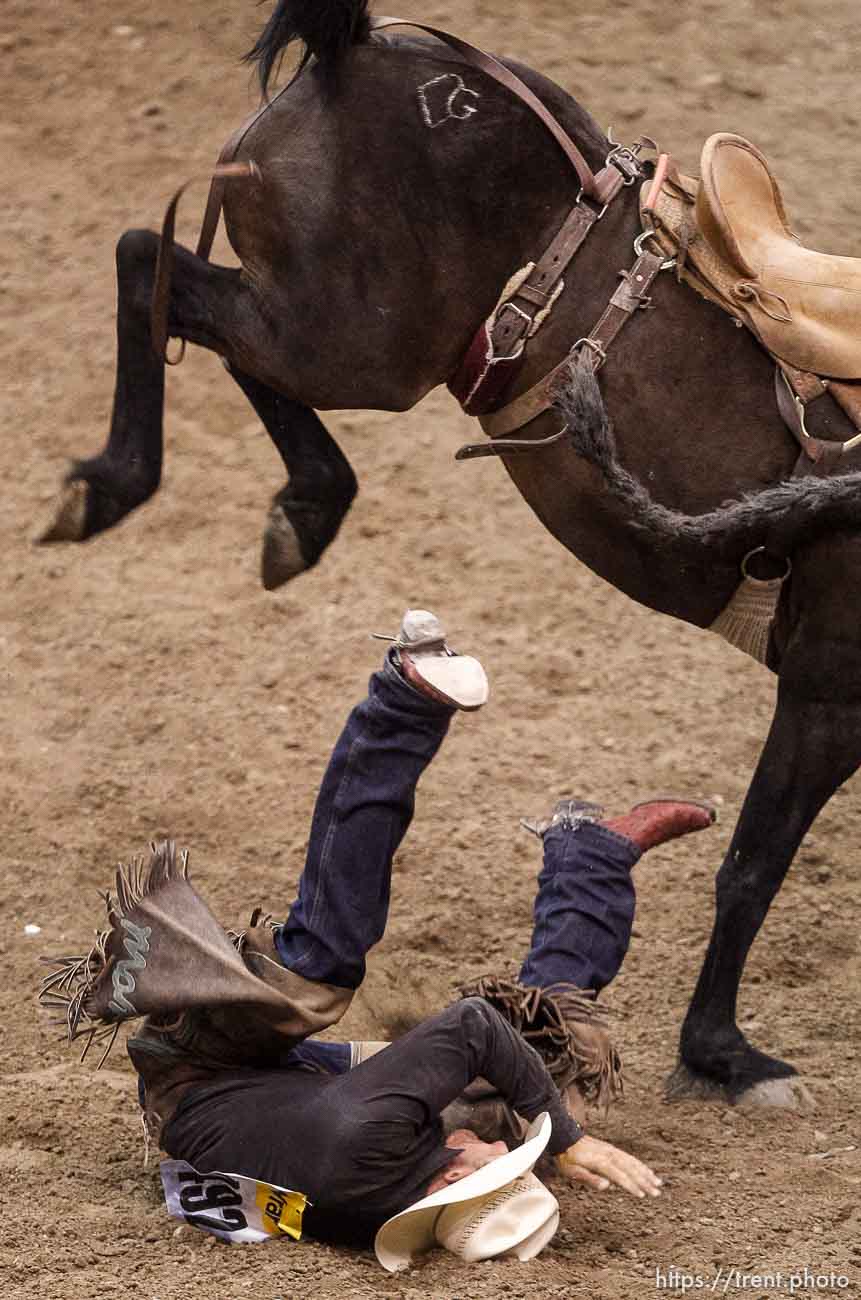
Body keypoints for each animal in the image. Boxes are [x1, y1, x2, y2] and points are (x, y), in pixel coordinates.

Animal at [38, 5, 861, 1112]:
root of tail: (361, 46)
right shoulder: (828, 689)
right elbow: (752, 863)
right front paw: (723, 1054)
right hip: (353, 342)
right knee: (150, 266)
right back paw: (119, 486)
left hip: (344, 334)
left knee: (179, 290)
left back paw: (300, 508)